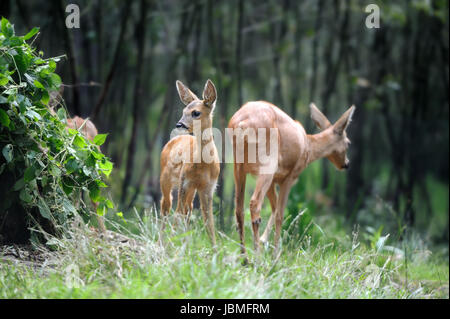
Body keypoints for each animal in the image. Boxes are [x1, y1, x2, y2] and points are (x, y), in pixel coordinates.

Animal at [160, 80, 220, 248]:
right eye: (183, 110)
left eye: (196, 113)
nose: (179, 124)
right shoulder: (184, 181)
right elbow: (177, 214)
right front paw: (171, 247)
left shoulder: (209, 187)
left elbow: (209, 221)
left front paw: (215, 250)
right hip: (166, 180)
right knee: (166, 206)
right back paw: (162, 243)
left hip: (191, 189)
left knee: (188, 209)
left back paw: (184, 243)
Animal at [229, 101, 356, 258]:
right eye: (348, 143)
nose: (346, 164)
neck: (308, 146)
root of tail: (241, 122)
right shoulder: (290, 176)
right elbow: (280, 214)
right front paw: (275, 254)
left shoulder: (274, 179)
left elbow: (274, 207)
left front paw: (265, 241)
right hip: (268, 162)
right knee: (254, 203)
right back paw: (257, 256)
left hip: (238, 165)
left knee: (239, 208)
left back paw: (245, 257)